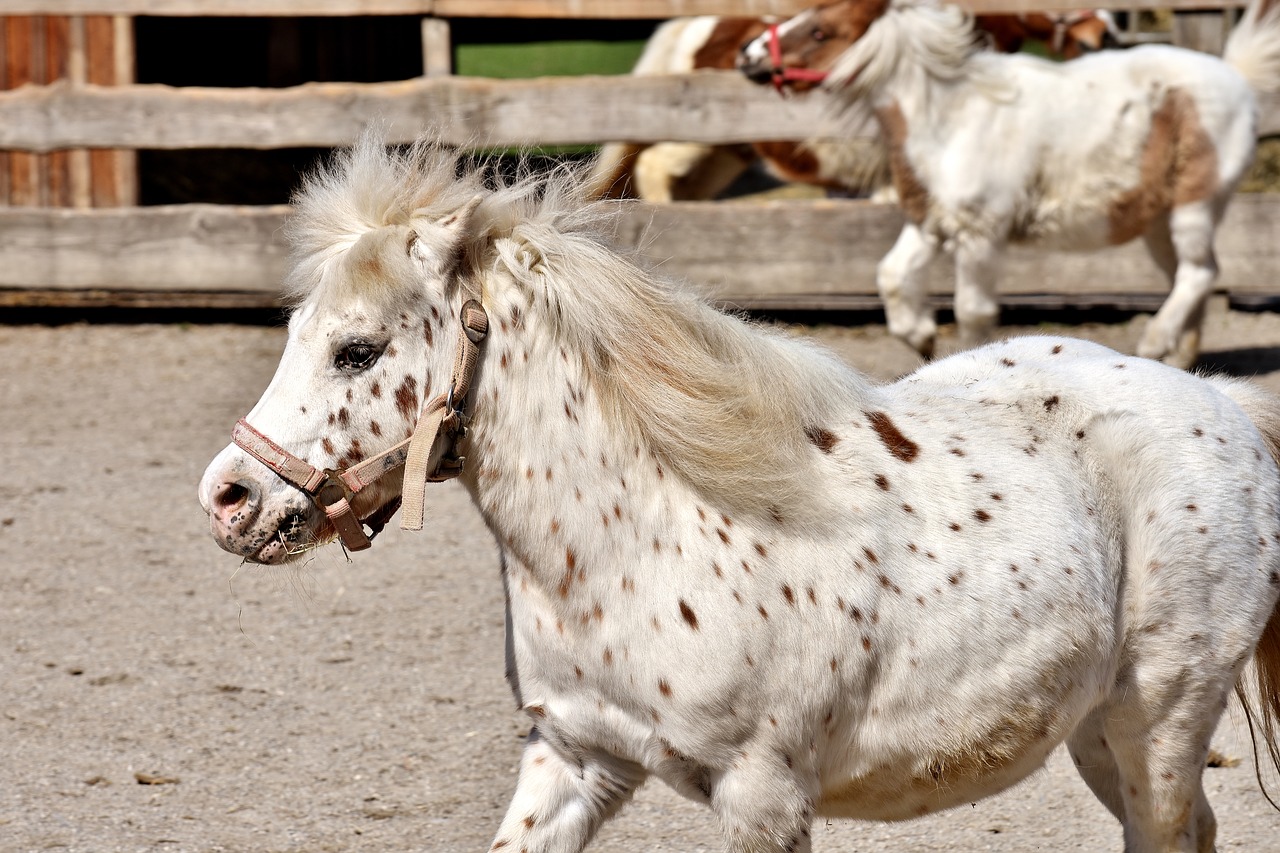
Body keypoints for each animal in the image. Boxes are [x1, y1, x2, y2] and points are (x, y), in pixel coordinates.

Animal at [737, 0, 1280, 366]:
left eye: (820, 30)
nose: (747, 56)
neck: (950, 117)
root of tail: (1236, 75)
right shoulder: (929, 223)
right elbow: (890, 276)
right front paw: (921, 336)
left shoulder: (981, 235)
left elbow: (972, 311)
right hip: (1157, 222)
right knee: (1190, 277)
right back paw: (1179, 360)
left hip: (1196, 205)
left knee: (1199, 274)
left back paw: (1151, 343)